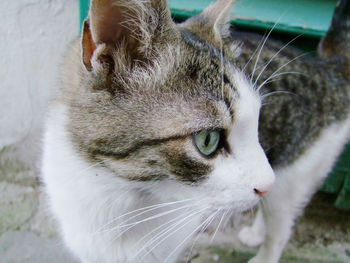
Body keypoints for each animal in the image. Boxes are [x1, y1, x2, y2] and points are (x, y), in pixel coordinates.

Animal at [41, 0, 350, 263]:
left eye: (257, 123)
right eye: (207, 140)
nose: (266, 183)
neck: (114, 194)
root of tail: (330, 68)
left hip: (296, 173)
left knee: (281, 224)